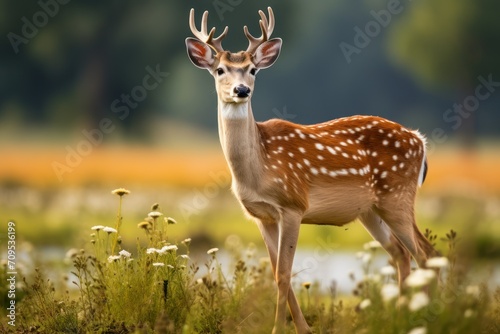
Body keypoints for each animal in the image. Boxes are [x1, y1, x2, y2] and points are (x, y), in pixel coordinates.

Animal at [185, 6, 438, 332]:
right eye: (220, 70)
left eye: (253, 70)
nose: (241, 90)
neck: (258, 169)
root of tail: (420, 140)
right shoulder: (261, 216)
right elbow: (277, 272)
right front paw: (303, 327)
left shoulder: (293, 205)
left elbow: (283, 273)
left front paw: (279, 328)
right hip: (371, 210)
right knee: (401, 253)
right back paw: (399, 317)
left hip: (398, 196)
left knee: (426, 253)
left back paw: (428, 316)